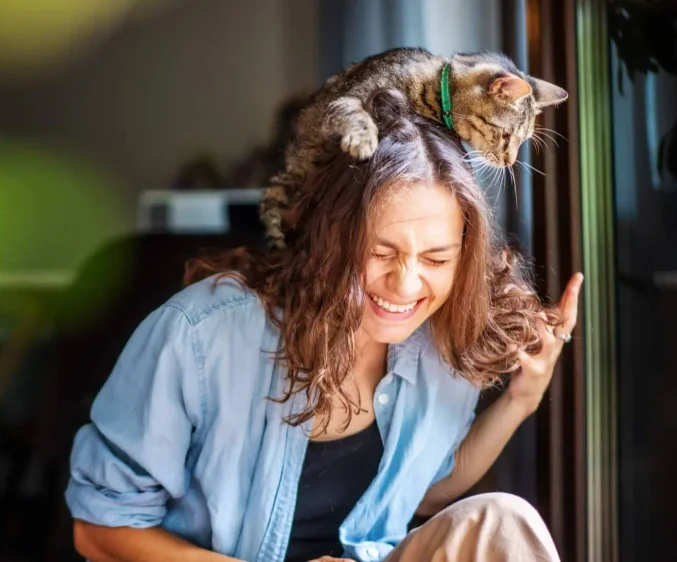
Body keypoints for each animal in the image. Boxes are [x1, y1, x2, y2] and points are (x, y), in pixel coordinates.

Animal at [258, 47, 564, 248]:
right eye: (506, 135)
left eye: (523, 140)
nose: (509, 161)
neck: (433, 92)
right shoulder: (344, 99)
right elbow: (352, 112)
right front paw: (363, 138)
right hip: (293, 174)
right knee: (270, 203)